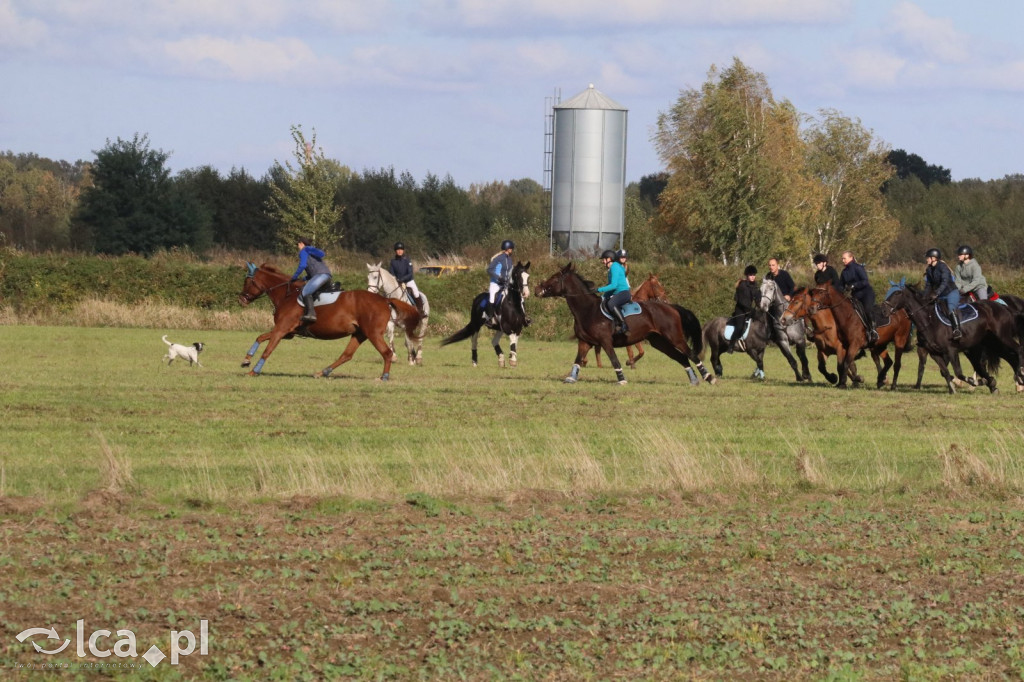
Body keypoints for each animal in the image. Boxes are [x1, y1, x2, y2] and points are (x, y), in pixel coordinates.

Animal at [235, 261, 419, 378]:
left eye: (247, 281)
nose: (241, 299)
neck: (287, 294)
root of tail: (384, 300)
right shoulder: (287, 332)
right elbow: (260, 337)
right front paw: (246, 360)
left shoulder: (282, 330)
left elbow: (268, 349)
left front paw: (254, 371)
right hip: (360, 333)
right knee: (346, 355)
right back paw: (322, 372)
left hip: (373, 333)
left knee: (387, 353)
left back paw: (384, 377)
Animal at [532, 260, 716, 385]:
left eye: (555, 279)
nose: (536, 289)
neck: (587, 310)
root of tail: (671, 307)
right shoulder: (584, 342)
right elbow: (577, 360)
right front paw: (571, 377)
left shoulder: (605, 341)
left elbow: (614, 360)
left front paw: (621, 379)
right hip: (659, 342)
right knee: (681, 357)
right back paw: (694, 379)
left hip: (674, 337)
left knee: (691, 354)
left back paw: (709, 377)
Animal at [884, 280, 1019, 393]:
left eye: (897, 292)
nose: (884, 310)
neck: (930, 320)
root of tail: (1003, 307)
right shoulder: (934, 353)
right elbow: (944, 371)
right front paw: (953, 389)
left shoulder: (951, 350)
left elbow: (958, 373)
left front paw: (974, 382)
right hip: (990, 344)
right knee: (1007, 357)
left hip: (1001, 338)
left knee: (1015, 351)